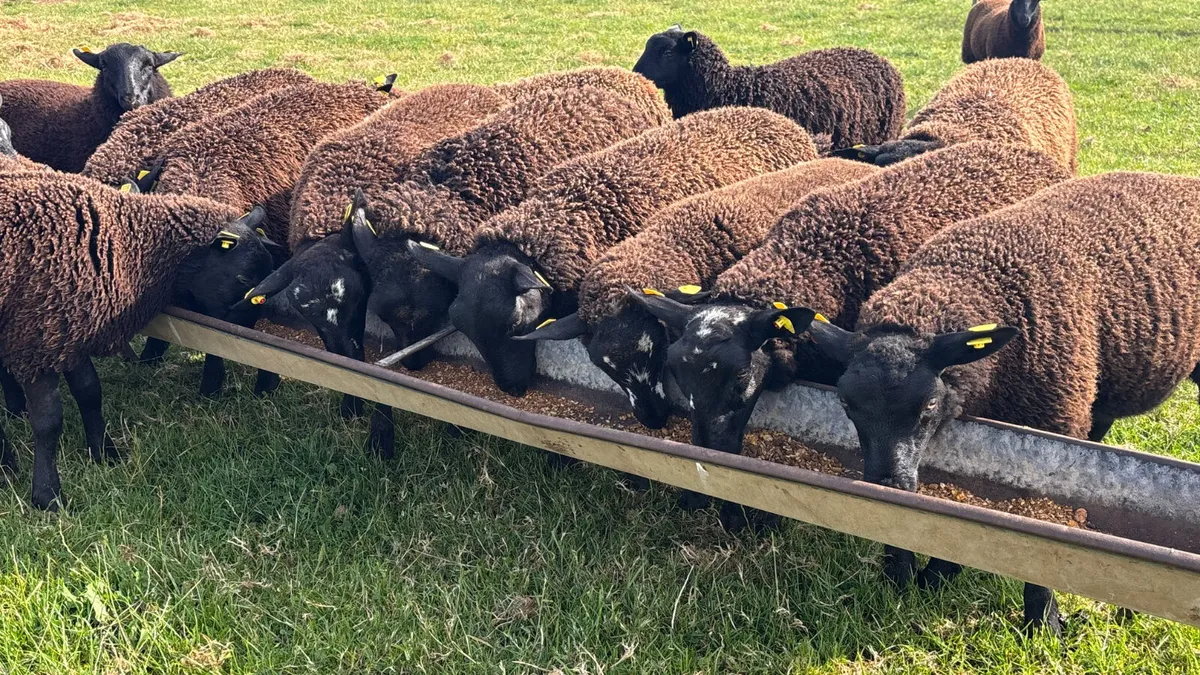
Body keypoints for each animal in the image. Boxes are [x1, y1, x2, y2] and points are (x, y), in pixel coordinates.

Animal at [0, 171, 275, 510]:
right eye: (244, 279)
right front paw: (47, 495)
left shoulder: (71, 329)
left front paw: (105, 454)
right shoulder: (37, 338)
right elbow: (49, 420)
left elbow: (89, 392)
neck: (127, 246)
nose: (267, 372)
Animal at [805, 171, 1200, 634]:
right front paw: (928, 576)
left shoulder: (1051, 430)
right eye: (846, 404)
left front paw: (1042, 624)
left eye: (929, 405)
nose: (887, 485)